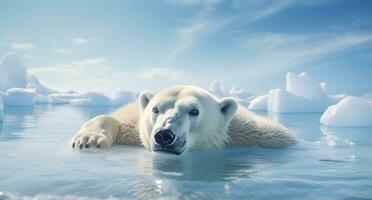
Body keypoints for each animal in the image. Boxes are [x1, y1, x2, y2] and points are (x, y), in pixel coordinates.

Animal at [71, 85, 294, 154]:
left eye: (194, 111)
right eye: (155, 109)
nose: (164, 136)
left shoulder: (249, 134)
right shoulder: (133, 123)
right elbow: (114, 118)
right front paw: (89, 139)